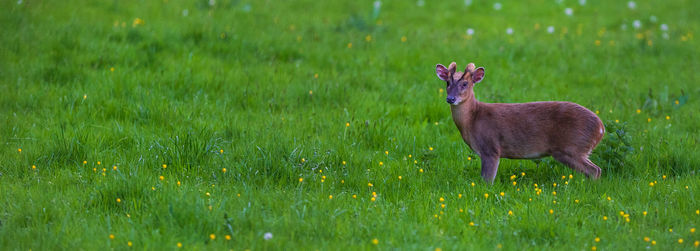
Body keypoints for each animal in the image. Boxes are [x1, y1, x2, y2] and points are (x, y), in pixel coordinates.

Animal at [434, 61, 604, 183]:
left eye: (465, 84)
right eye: (447, 83)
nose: (450, 98)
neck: (473, 120)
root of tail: (601, 128)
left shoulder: (490, 148)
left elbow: (487, 180)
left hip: (571, 147)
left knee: (595, 170)